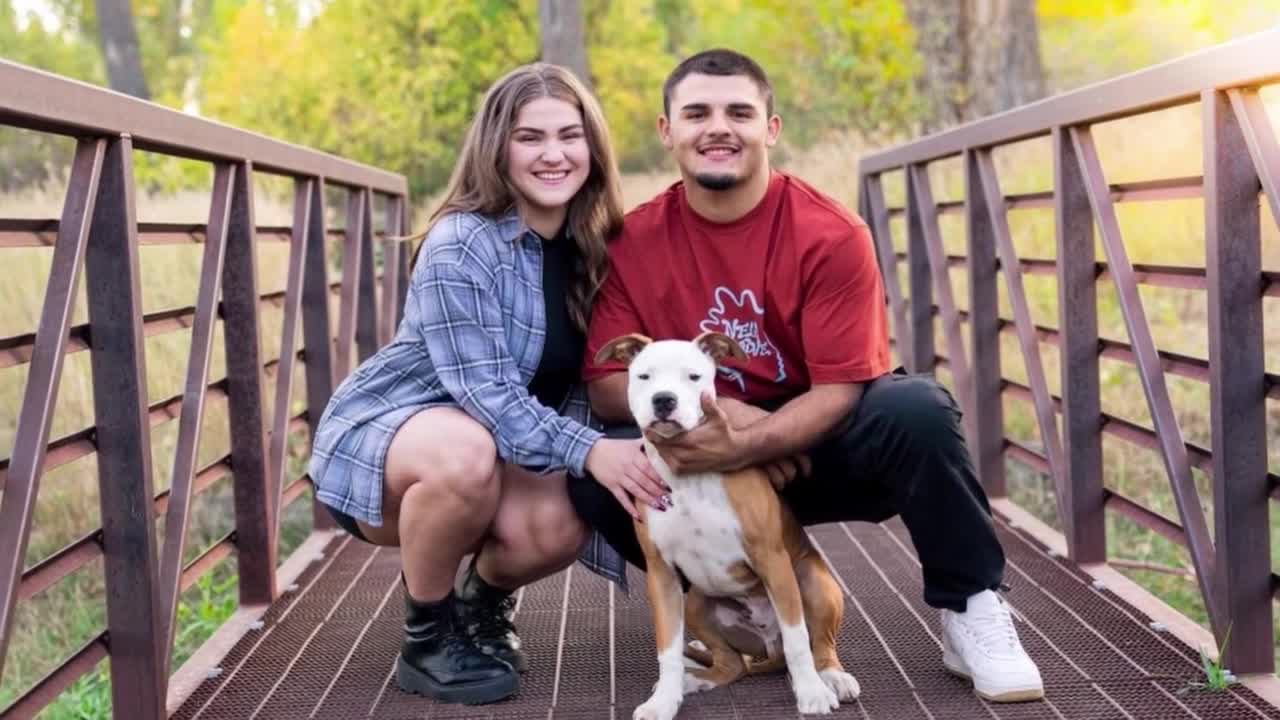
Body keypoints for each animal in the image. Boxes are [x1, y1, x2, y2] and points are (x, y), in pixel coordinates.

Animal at [594, 331, 860, 720]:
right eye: (644, 376)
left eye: (693, 377)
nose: (664, 400)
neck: (688, 477)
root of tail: (766, 649)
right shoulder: (661, 574)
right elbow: (668, 650)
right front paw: (663, 702)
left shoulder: (772, 560)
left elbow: (797, 639)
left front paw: (811, 693)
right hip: (696, 603)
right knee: (731, 664)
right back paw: (693, 679)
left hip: (814, 582)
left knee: (816, 645)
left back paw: (830, 677)